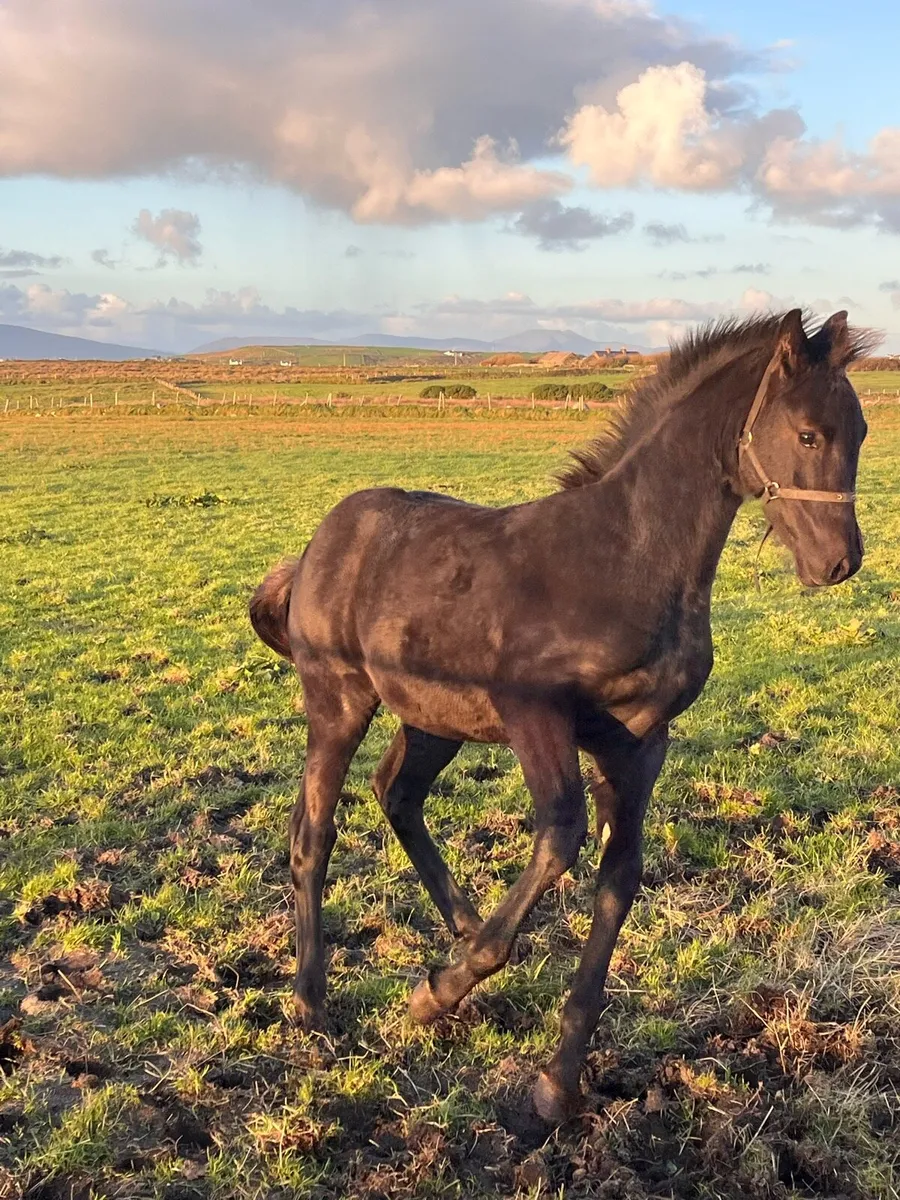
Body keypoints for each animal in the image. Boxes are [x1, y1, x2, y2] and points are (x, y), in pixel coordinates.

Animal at [249, 309, 875, 1123]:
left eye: (860, 430)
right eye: (805, 433)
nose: (840, 563)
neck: (626, 559)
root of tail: (318, 544)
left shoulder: (641, 741)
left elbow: (620, 874)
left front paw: (558, 1080)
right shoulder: (535, 713)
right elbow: (560, 836)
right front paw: (433, 994)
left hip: (434, 717)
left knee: (398, 793)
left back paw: (461, 928)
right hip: (338, 701)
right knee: (314, 833)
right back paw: (313, 1008)